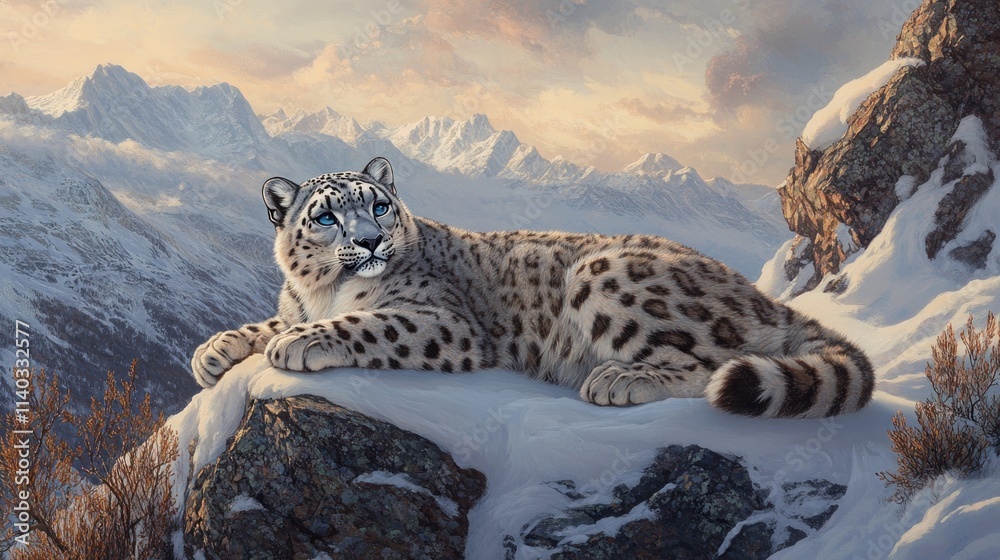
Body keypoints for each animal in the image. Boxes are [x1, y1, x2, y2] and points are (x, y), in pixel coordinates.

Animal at [191, 157, 875, 418]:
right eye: (327, 217)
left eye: (379, 204)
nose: (370, 241)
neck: (322, 291)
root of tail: (765, 298)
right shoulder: (295, 300)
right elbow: (267, 320)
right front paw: (214, 351)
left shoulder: (444, 321)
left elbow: (366, 323)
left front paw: (299, 343)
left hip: (606, 275)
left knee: (714, 363)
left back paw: (617, 380)